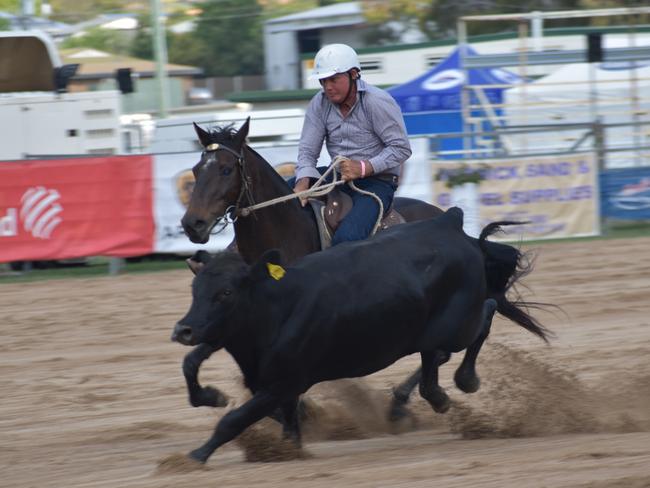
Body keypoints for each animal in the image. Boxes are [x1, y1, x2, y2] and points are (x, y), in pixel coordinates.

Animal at [171, 208, 540, 464]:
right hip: (427, 330)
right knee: (432, 361)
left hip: (457, 324)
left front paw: (194, 457)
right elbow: (285, 422)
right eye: (195, 288)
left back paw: (464, 380)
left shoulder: (283, 382)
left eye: (226, 293)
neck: (278, 306)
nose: (184, 329)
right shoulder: (257, 369)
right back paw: (428, 399)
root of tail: (448, 221)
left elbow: (234, 419)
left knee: (483, 315)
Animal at [177, 117, 548, 420]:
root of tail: (451, 222)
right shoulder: (231, 318)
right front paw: (209, 396)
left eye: (226, 169)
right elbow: (192, 359)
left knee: (448, 343)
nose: (193, 224)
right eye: (196, 170)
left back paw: (420, 396)